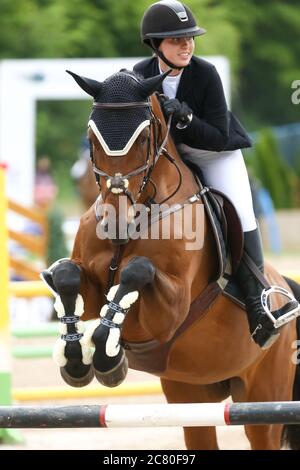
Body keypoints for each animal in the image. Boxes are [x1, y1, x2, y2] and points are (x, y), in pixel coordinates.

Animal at [42, 68, 300, 450]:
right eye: (91, 139)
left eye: (144, 139)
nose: (115, 223)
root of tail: (285, 286)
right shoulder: (90, 285)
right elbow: (67, 276)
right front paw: (76, 357)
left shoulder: (170, 311)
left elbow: (137, 272)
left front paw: (106, 353)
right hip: (189, 395)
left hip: (264, 398)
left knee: (262, 431)